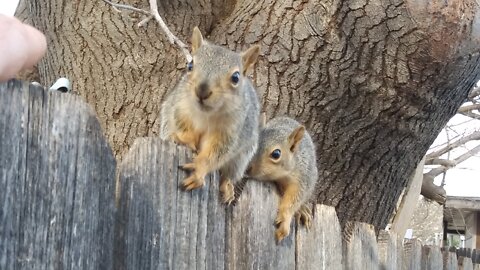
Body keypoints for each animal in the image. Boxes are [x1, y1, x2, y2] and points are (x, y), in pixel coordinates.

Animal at [159, 27, 260, 205]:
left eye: (236, 77)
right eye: (190, 65)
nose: (202, 90)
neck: (206, 114)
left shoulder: (229, 131)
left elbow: (215, 153)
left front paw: (199, 169)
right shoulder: (180, 106)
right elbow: (182, 124)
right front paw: (184, 139)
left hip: (241, 158)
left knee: (229, 173)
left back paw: (227, 186)